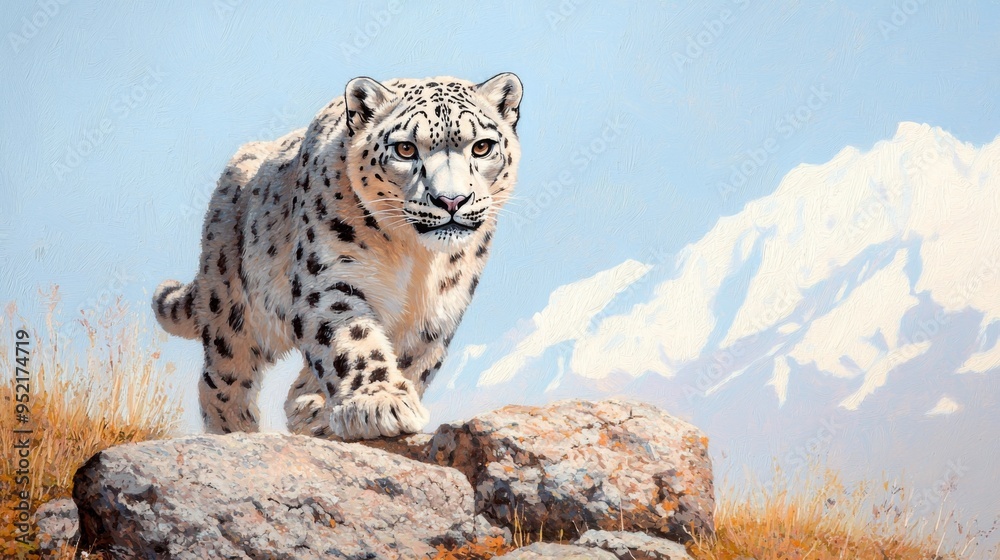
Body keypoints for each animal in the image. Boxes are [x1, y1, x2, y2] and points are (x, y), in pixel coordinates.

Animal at [152, 73, 522, 440]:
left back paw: (309, 408)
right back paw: (236, 428)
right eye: (405, 149)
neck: (417, 257)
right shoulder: (330, 278)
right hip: (232, 308)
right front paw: (380, 402)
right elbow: (355, 339)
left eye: (482, 146)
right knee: (222, 378)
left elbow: (412, 358)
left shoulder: (438, 309)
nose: (451, 200)